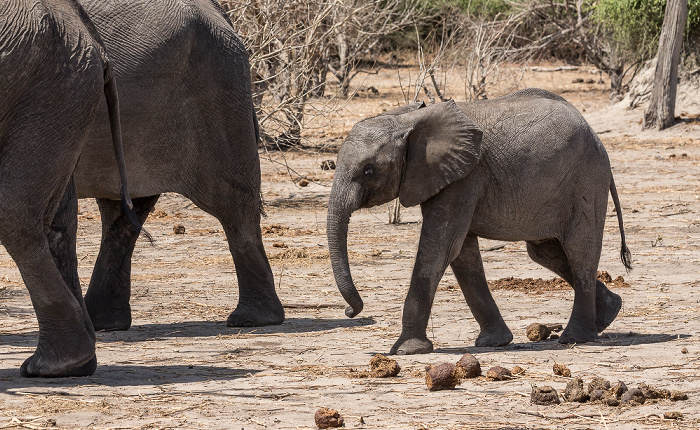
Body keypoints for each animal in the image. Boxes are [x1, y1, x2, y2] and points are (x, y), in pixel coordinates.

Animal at [0, 0, 142, 376]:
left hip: (51, 86)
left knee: (15, 215)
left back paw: (53, 365)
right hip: (62, 91)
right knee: (58, 220)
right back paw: (77, 364)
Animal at [74, 0, 284, 330]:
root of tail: (218, 13)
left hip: (214, 87)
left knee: (233, 203)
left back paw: (252, 319)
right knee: (122, 209)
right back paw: (103, 323)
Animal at [326, 89, 632, 354]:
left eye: (368, 170)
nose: (350, 311)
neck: (408, 119)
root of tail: (597, 138)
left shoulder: (464, 177)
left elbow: (440, 248)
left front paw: (406, 350)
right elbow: (462, 253)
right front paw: (494, 342)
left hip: (586, 180)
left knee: (579, 251)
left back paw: (576, 337)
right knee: (546, 252)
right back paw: (609, 313)